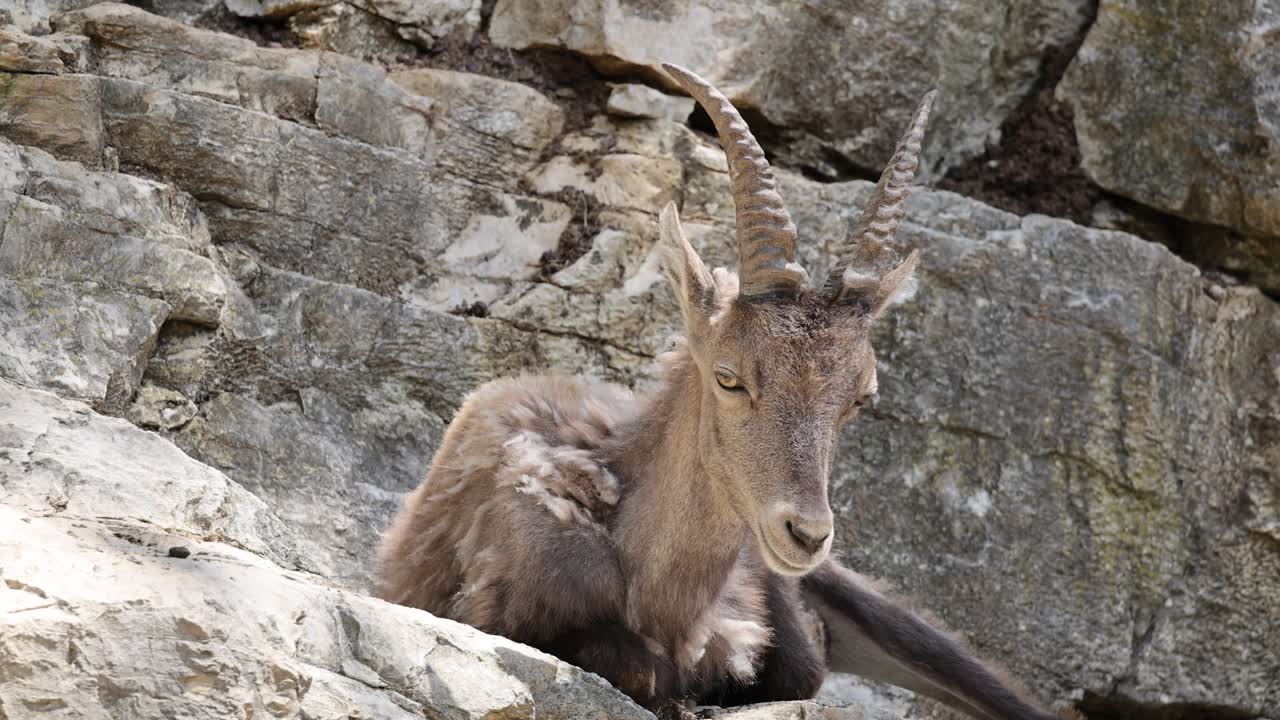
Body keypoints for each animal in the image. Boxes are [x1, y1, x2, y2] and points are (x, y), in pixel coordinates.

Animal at [379, 63, 1075, 720]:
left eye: (861, 397)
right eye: (729, 376)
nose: (806, 533)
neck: (649, 574)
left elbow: (801, 672)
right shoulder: (501, 601)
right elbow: (644, 668)